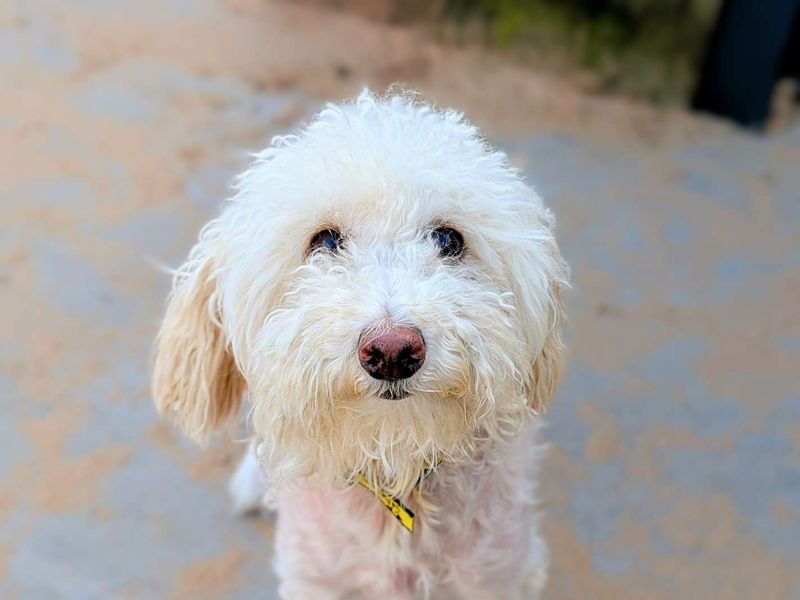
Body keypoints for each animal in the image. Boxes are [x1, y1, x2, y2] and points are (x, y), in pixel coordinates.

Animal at [153, 90, 568, 600]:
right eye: (326, 241)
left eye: (448, 239)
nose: (392, 351)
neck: (395, 466)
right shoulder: (317, 579)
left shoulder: (497, 576)